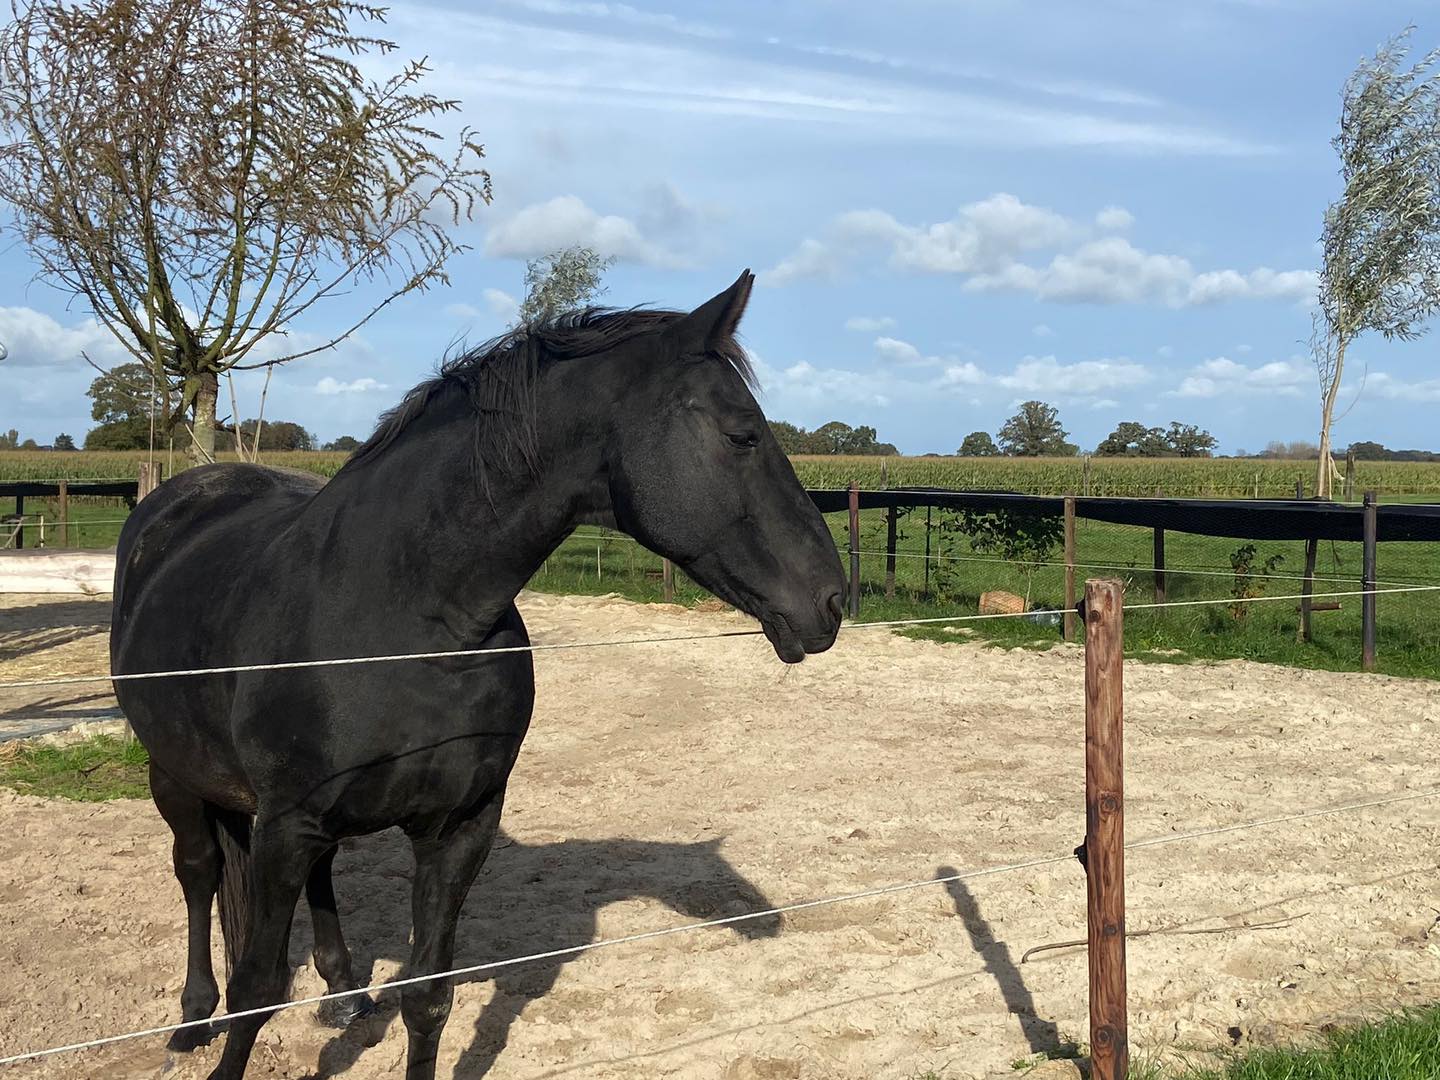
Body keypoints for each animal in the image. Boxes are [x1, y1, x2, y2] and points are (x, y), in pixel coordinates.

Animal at [115, 270, 852, 1080]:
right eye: (742, 434)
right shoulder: (284, 825)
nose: (832, 599)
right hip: (174, 775)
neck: (403, 625)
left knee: (320, 876)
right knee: (199, 873)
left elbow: (428, 997)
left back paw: (343, 994)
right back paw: (193, 1017)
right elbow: (256, 985)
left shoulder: (458, 827)